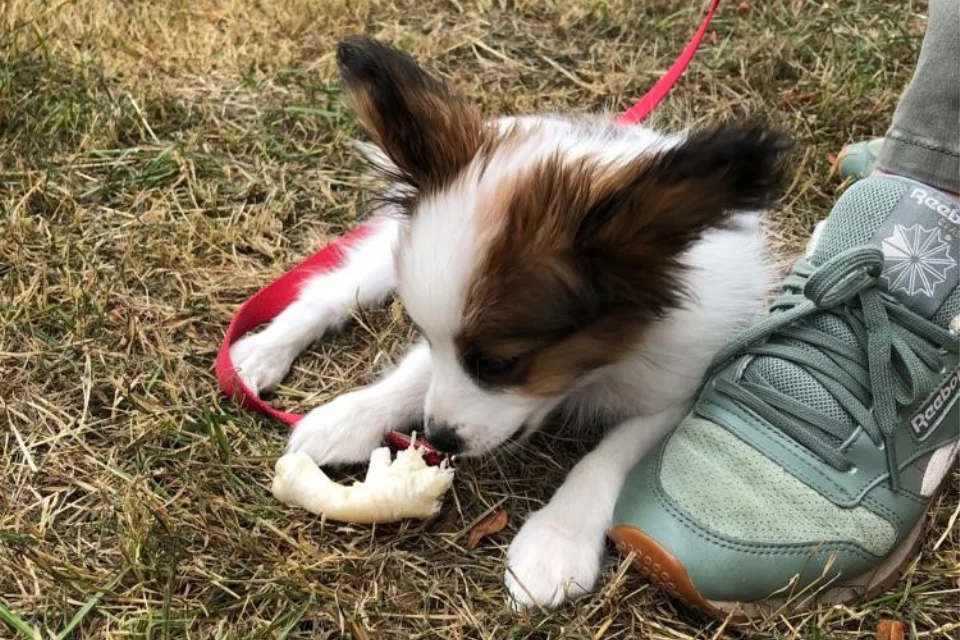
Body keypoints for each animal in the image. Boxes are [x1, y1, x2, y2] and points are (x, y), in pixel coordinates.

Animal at [232, 37, 788, 608]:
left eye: (500, 363)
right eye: (426, 336)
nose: (438, 438)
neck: (601, 368)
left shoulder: (680, 390)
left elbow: (609, 458)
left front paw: (557, 539)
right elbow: (416, 374)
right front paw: (352, 416)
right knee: (329, 291)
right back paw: (263, 352)